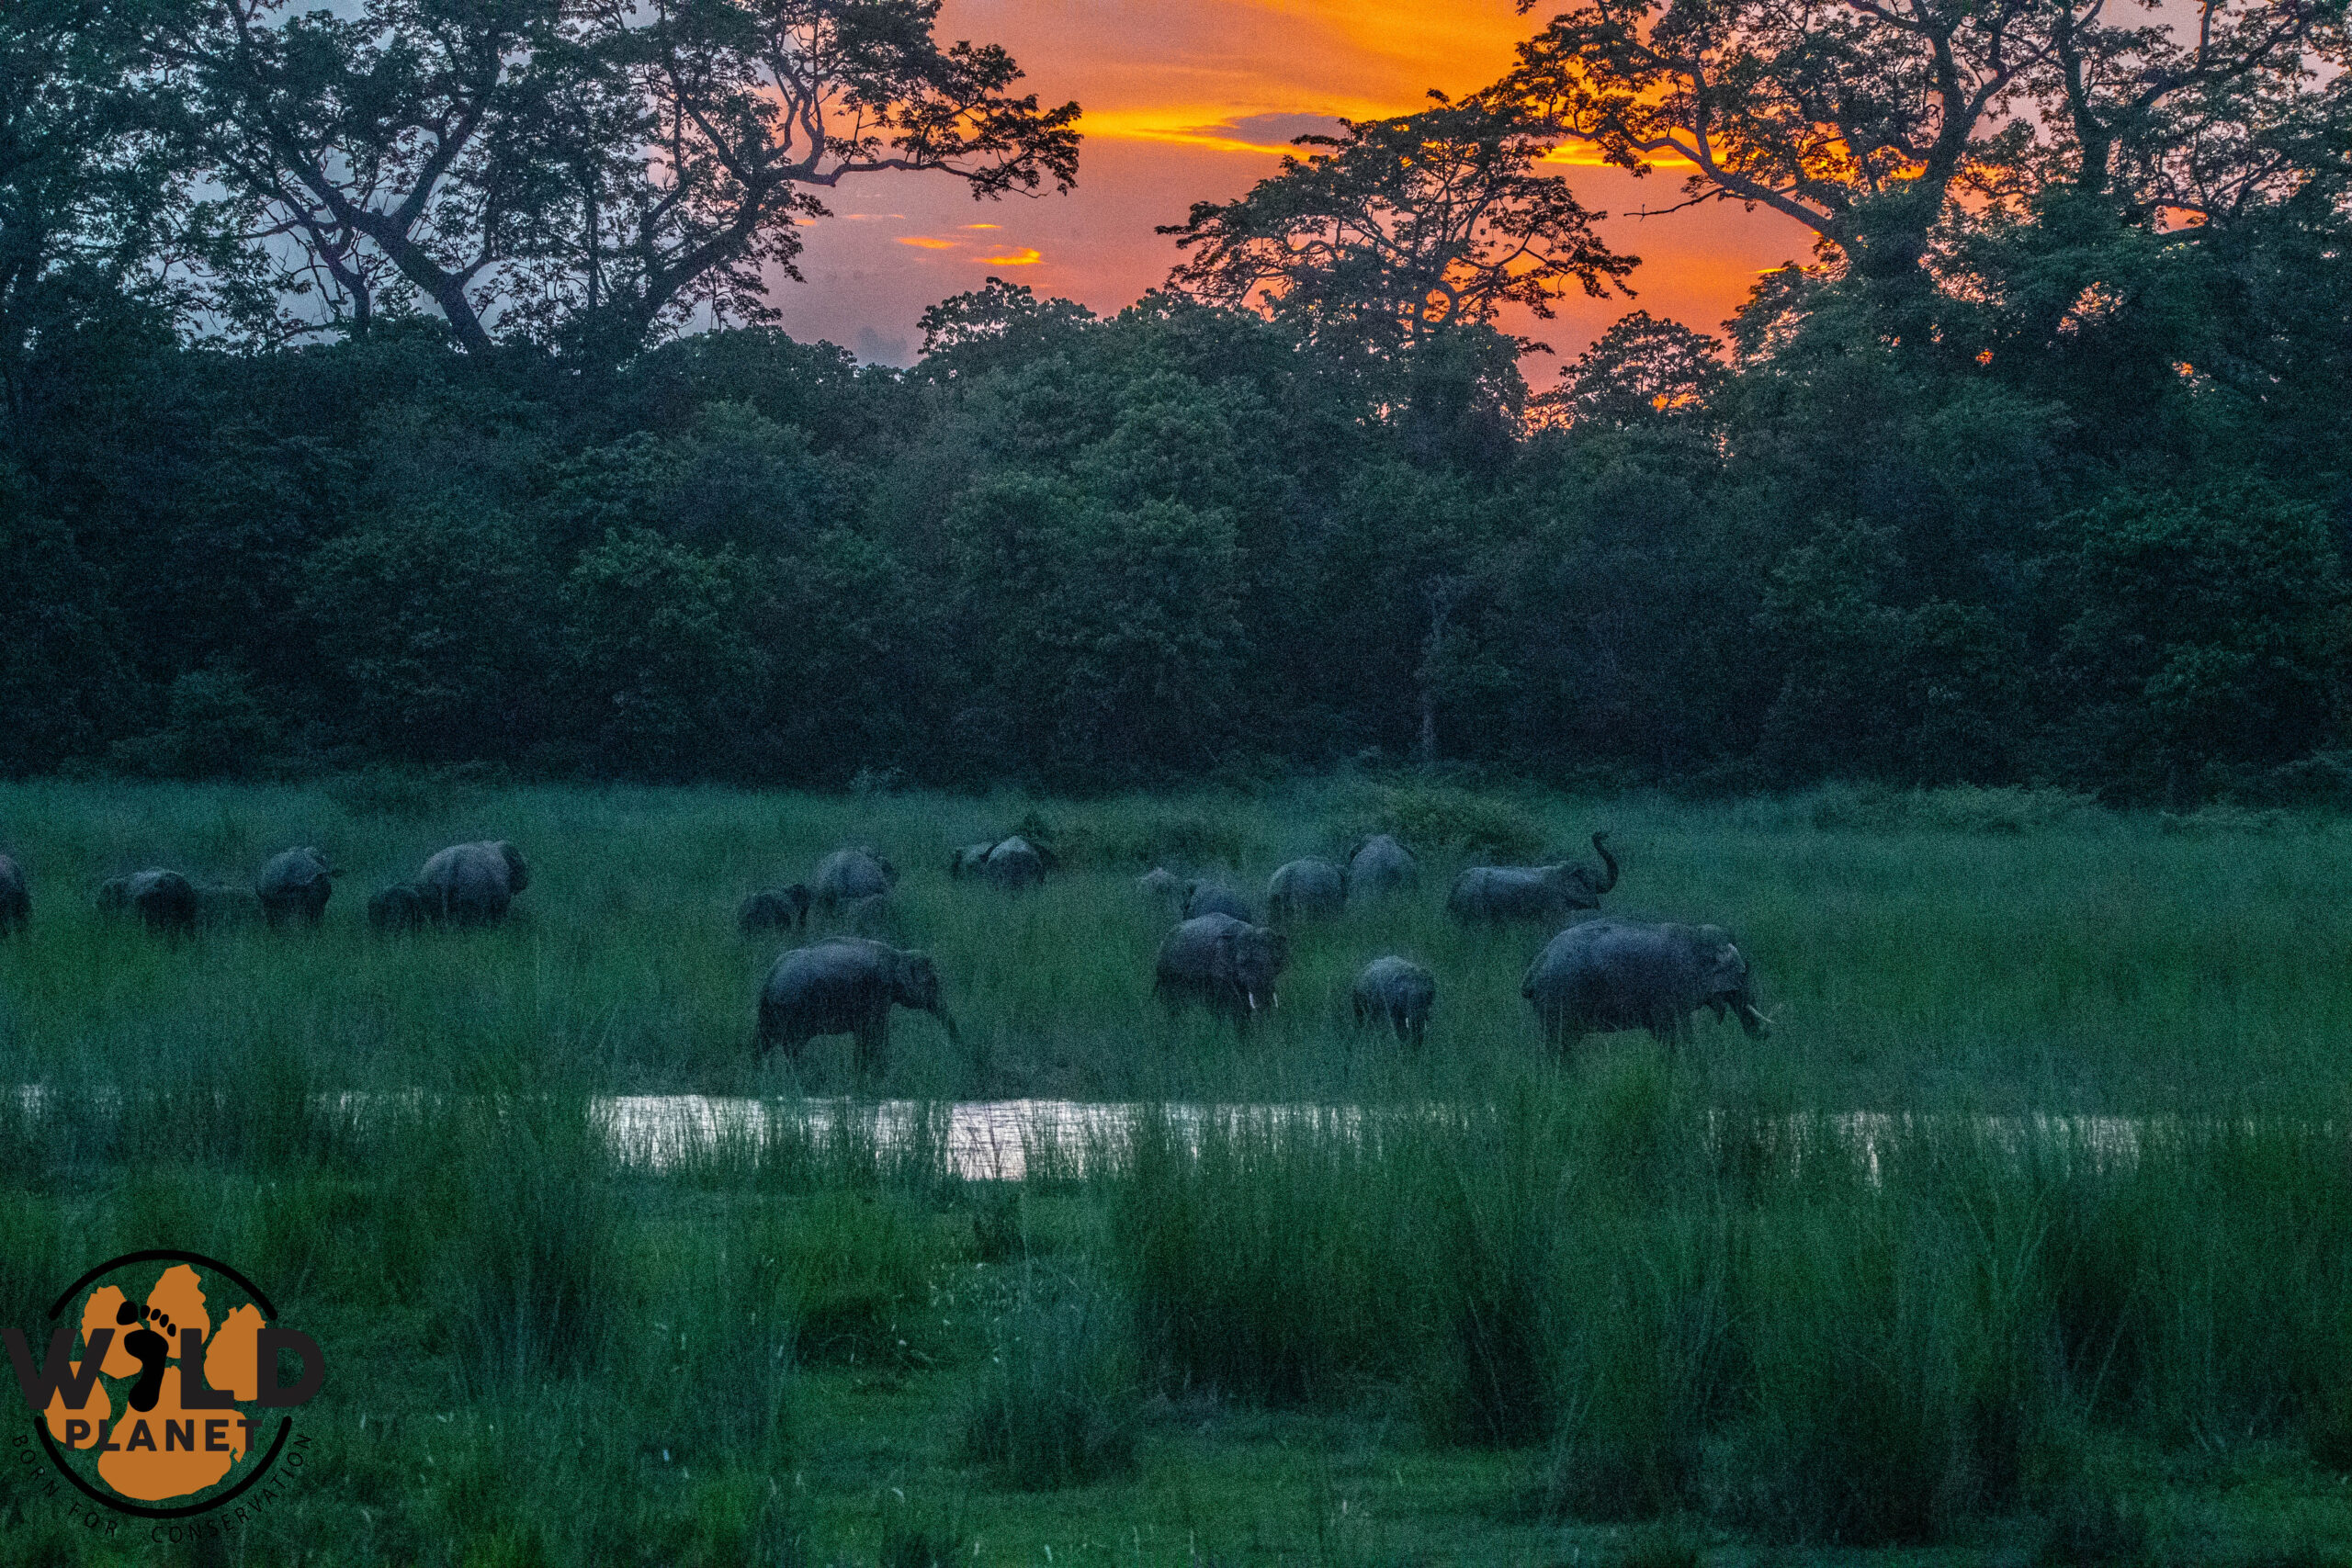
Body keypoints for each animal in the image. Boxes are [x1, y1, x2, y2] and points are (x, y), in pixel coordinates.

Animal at [756, 937, 958, 1079]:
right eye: (933, 982)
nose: (954, 1047)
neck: (899, 955)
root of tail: (770, 978)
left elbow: (864, 1035)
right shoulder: (879, 991)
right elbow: (876, 1033)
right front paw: (879, 1075)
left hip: (770, 1012)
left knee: (764, 1042)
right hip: (793, 1010)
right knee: (792, 1047)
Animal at [1446, 832, 1619, 924]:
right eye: (1594, 879)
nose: (1601, 834)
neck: (1561, 870)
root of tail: (1456, 886)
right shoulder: (1555, 905)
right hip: (1475, 905)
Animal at [1521, 917, 1769, 1050]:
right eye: (1744, 973)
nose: (1764, 1035)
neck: (1695, 936)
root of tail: (1533, 970)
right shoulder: (1668, 993)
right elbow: (1678, 1036)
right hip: (1558, 1001)